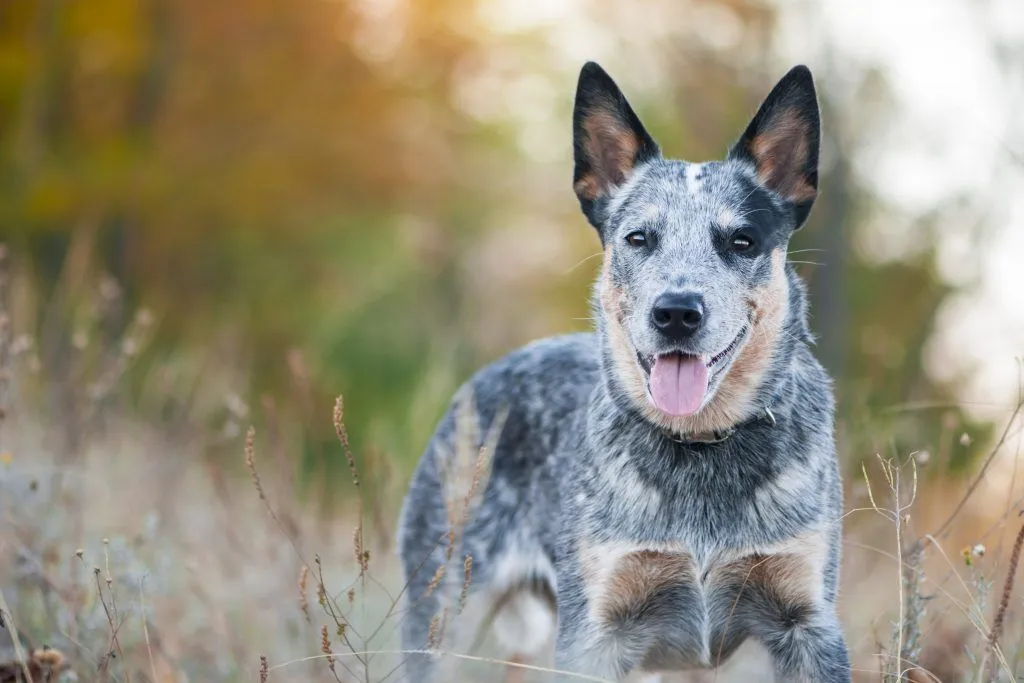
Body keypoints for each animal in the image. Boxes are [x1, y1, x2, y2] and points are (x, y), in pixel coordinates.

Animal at [395, 63, 851, 683]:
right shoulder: (596, 631)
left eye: (742, 240)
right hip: (443, 609)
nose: (677, 312)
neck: (699, 447)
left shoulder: (807, 624)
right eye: (639, 237)